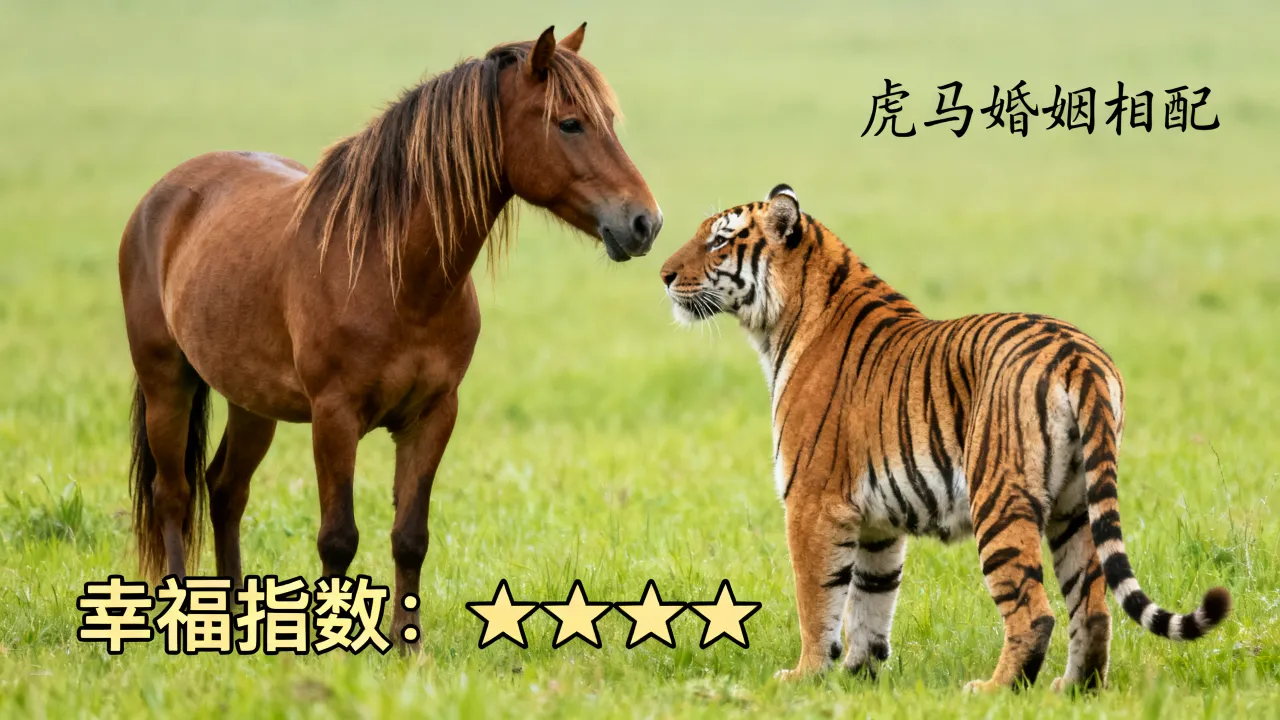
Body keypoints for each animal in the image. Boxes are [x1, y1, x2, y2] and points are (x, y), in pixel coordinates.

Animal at [118, 24, 660, 647]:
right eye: (570, 123)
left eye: (608, 121)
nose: (646, 223)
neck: (393, 269)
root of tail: (163, 194)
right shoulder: (334, 417)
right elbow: (337, 538)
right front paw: (330, 647)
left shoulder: (432, 415)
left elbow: (410, 537)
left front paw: (407, 645)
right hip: (167, 383)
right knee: (174, 495)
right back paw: (183, 619)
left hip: (251, 401)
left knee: (226, 490)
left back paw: (233, 618)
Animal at [658, 184, 1232, 692]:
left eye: (719, 241)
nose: (663, 275)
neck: (782, 322)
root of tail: (1076, 353)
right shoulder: (877, 523)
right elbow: (870, 600)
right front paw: (858, 677)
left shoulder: (813, 503)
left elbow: (817, 600)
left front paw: (805, 676)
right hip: (1076, 508)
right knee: (1091, 607)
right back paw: (1074, 689)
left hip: (999, 499)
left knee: (1035, 611)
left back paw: (994, 689)